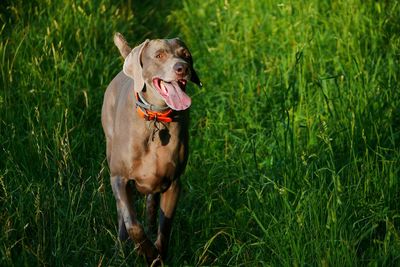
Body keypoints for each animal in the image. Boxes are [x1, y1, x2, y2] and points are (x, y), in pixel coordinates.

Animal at [100, 31, 200, 266]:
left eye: (186, 54)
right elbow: (132, 225)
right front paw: (146, 252)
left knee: (151, 206)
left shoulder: (174, 183)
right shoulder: (119, 179)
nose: (182, 68)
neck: (156, 118)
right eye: (159, 55)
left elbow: (165, 229)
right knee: (123, 215)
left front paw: (157, 257)